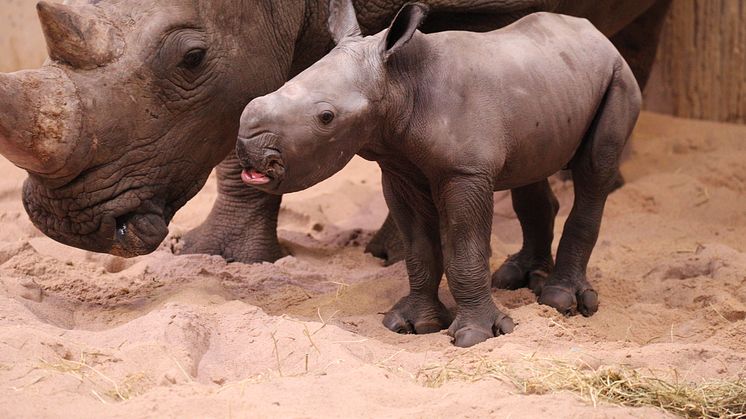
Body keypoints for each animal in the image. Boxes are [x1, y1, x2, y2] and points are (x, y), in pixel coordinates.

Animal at [237, 0, 640, 348]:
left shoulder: (466, 172)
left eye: (326, 117)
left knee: (594, 173)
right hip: (550, 84)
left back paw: (560, 301)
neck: (399, 82)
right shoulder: (398, 170)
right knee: (531, 171)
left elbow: (465, 248)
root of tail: (595, 33)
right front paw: (414, 324)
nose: (249, 149)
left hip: (618, 78)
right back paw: (517, 280)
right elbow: (419, 249)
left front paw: (476, 336)